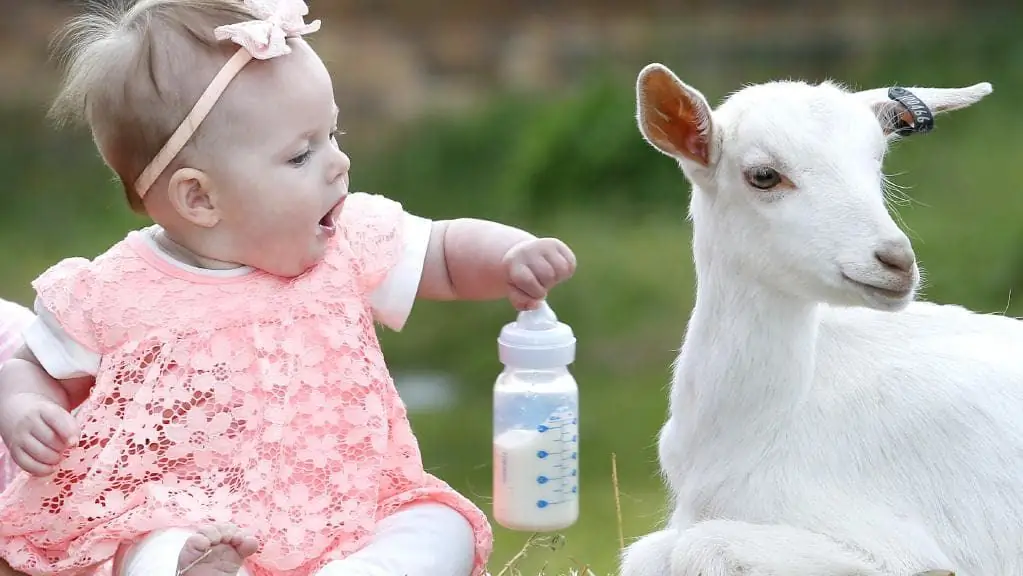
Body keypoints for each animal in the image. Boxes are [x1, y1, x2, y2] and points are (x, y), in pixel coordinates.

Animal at [613, 63, 1023, 576]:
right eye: (764, 175)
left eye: (877, 162)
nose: (896, 261)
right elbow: (649, 552)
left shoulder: (899, 548)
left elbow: (692, 547)